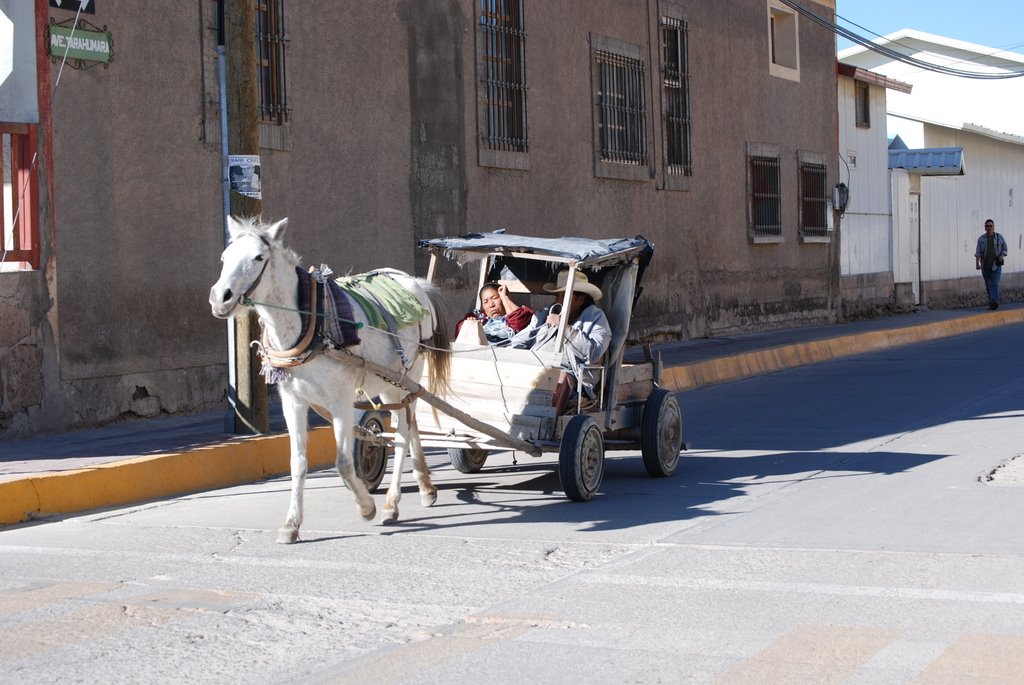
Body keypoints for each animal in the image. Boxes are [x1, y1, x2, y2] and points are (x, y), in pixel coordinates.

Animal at [206, 216, 448, 540]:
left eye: (258, 257)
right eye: (224, 257)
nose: (221, 298)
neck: (310, 323)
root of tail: (415, 283)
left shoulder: (341, 401)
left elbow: (343, 463)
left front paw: (366, 507)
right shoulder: (292, 401)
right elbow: (298, 463)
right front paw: (291, 524)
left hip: (405, 376)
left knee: (402, 434)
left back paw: (391, 504)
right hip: (394, 385)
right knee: (410, 426)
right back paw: (425, 487)